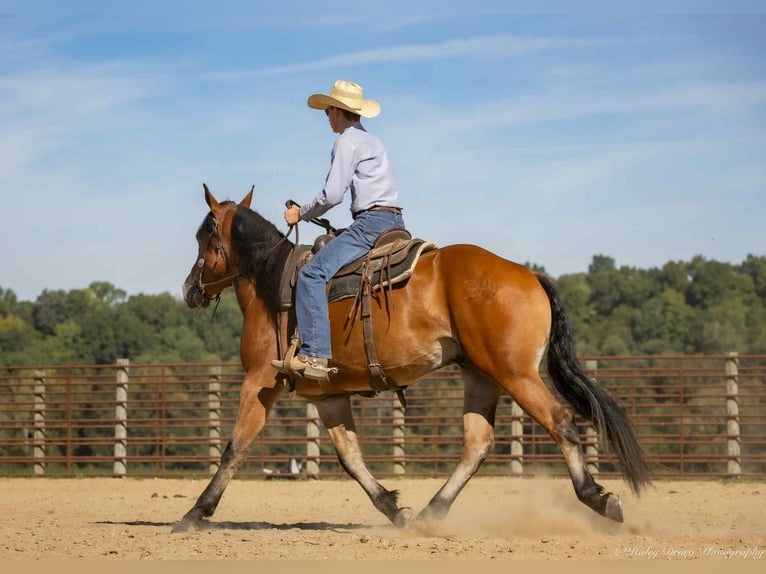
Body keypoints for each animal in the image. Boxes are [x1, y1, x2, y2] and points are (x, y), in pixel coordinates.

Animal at [175, 184, 650, 532]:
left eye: (204, 237)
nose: (189, 289)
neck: (272, 284)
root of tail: (527, 273)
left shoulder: (260, 382)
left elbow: (235, 447)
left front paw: (195, 513)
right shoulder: (328, 395)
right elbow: (350, 458)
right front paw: (393, 507)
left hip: (515, 373)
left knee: (561, 421)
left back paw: (599, 498)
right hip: (481, 376)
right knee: (477, 444)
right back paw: (429, 513)